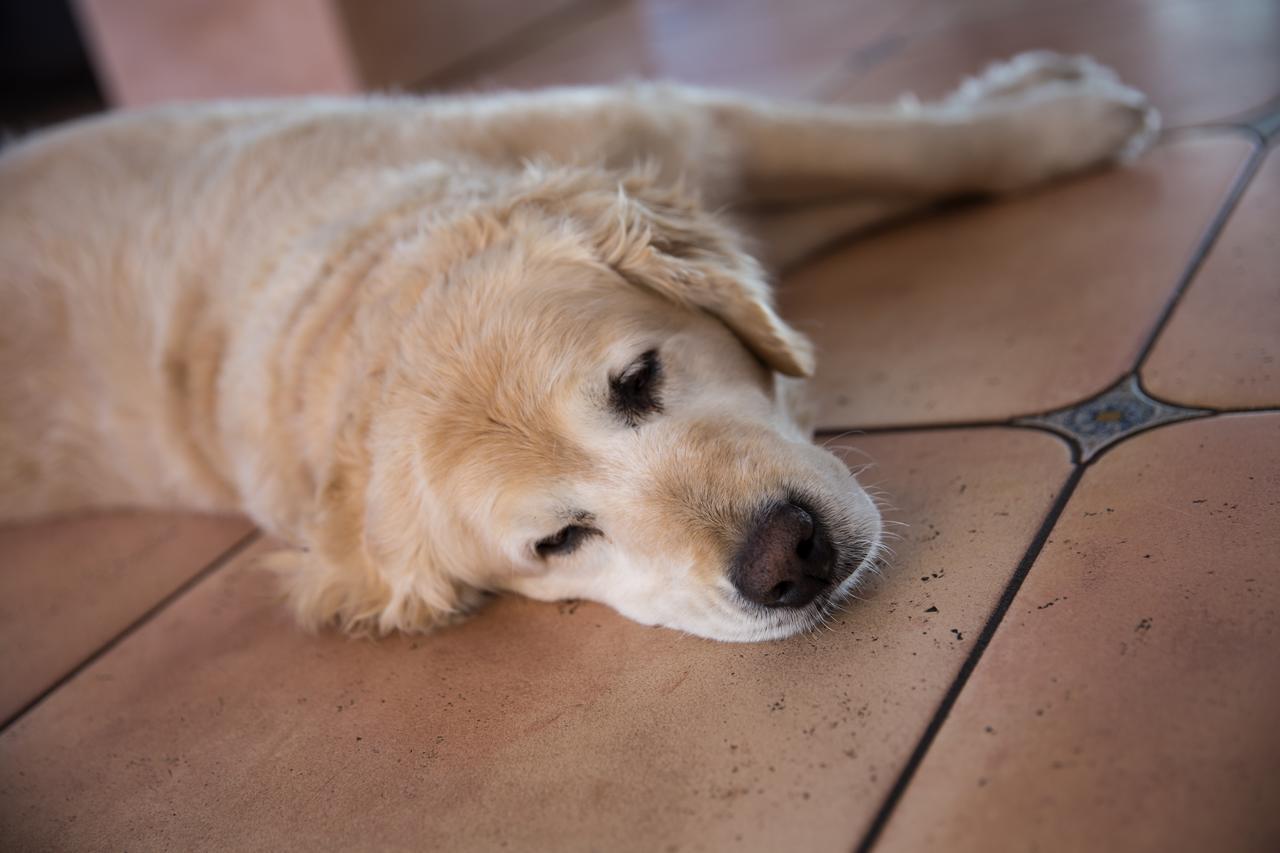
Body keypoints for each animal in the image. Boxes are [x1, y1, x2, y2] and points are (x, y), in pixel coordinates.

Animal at [0, 53, 1157, 637]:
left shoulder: (666, 124)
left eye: (639, 378)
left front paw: (1061, 114)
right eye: (559, 541)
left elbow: (915, 151)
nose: (786, 558)